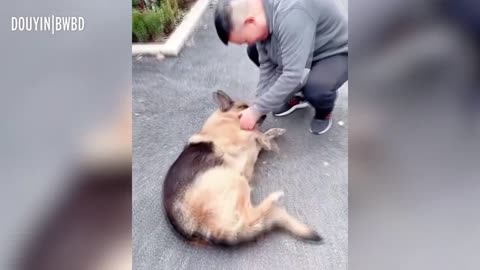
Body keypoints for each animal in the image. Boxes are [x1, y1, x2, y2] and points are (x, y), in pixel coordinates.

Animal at [162, 90, 322, 245]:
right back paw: (274, 197)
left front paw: (271, 134)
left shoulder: (251, 145)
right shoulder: (239, 136)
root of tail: (204, 231)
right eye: (244, 106)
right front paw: (268, 140)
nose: (264, 114)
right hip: (236, 180)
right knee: (249, 217)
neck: (226, 119)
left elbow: (259, 136)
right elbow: (254, 132)